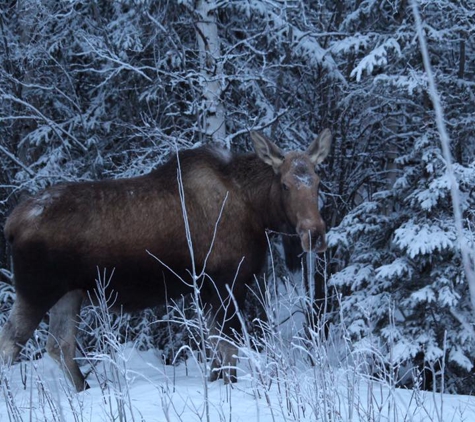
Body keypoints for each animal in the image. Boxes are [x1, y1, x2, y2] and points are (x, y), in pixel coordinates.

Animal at [0, 129, 332, 392]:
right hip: (36, 290)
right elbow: (229, 346)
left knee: (59, 345)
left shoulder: (207, 288)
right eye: (285, 185)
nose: (314, 234)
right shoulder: (227, 282)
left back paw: (85, 389)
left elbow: (215, 346)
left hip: (69, 293)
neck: (258, 213)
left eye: (317, 181)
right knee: (10, 344)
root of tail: (11, 225)